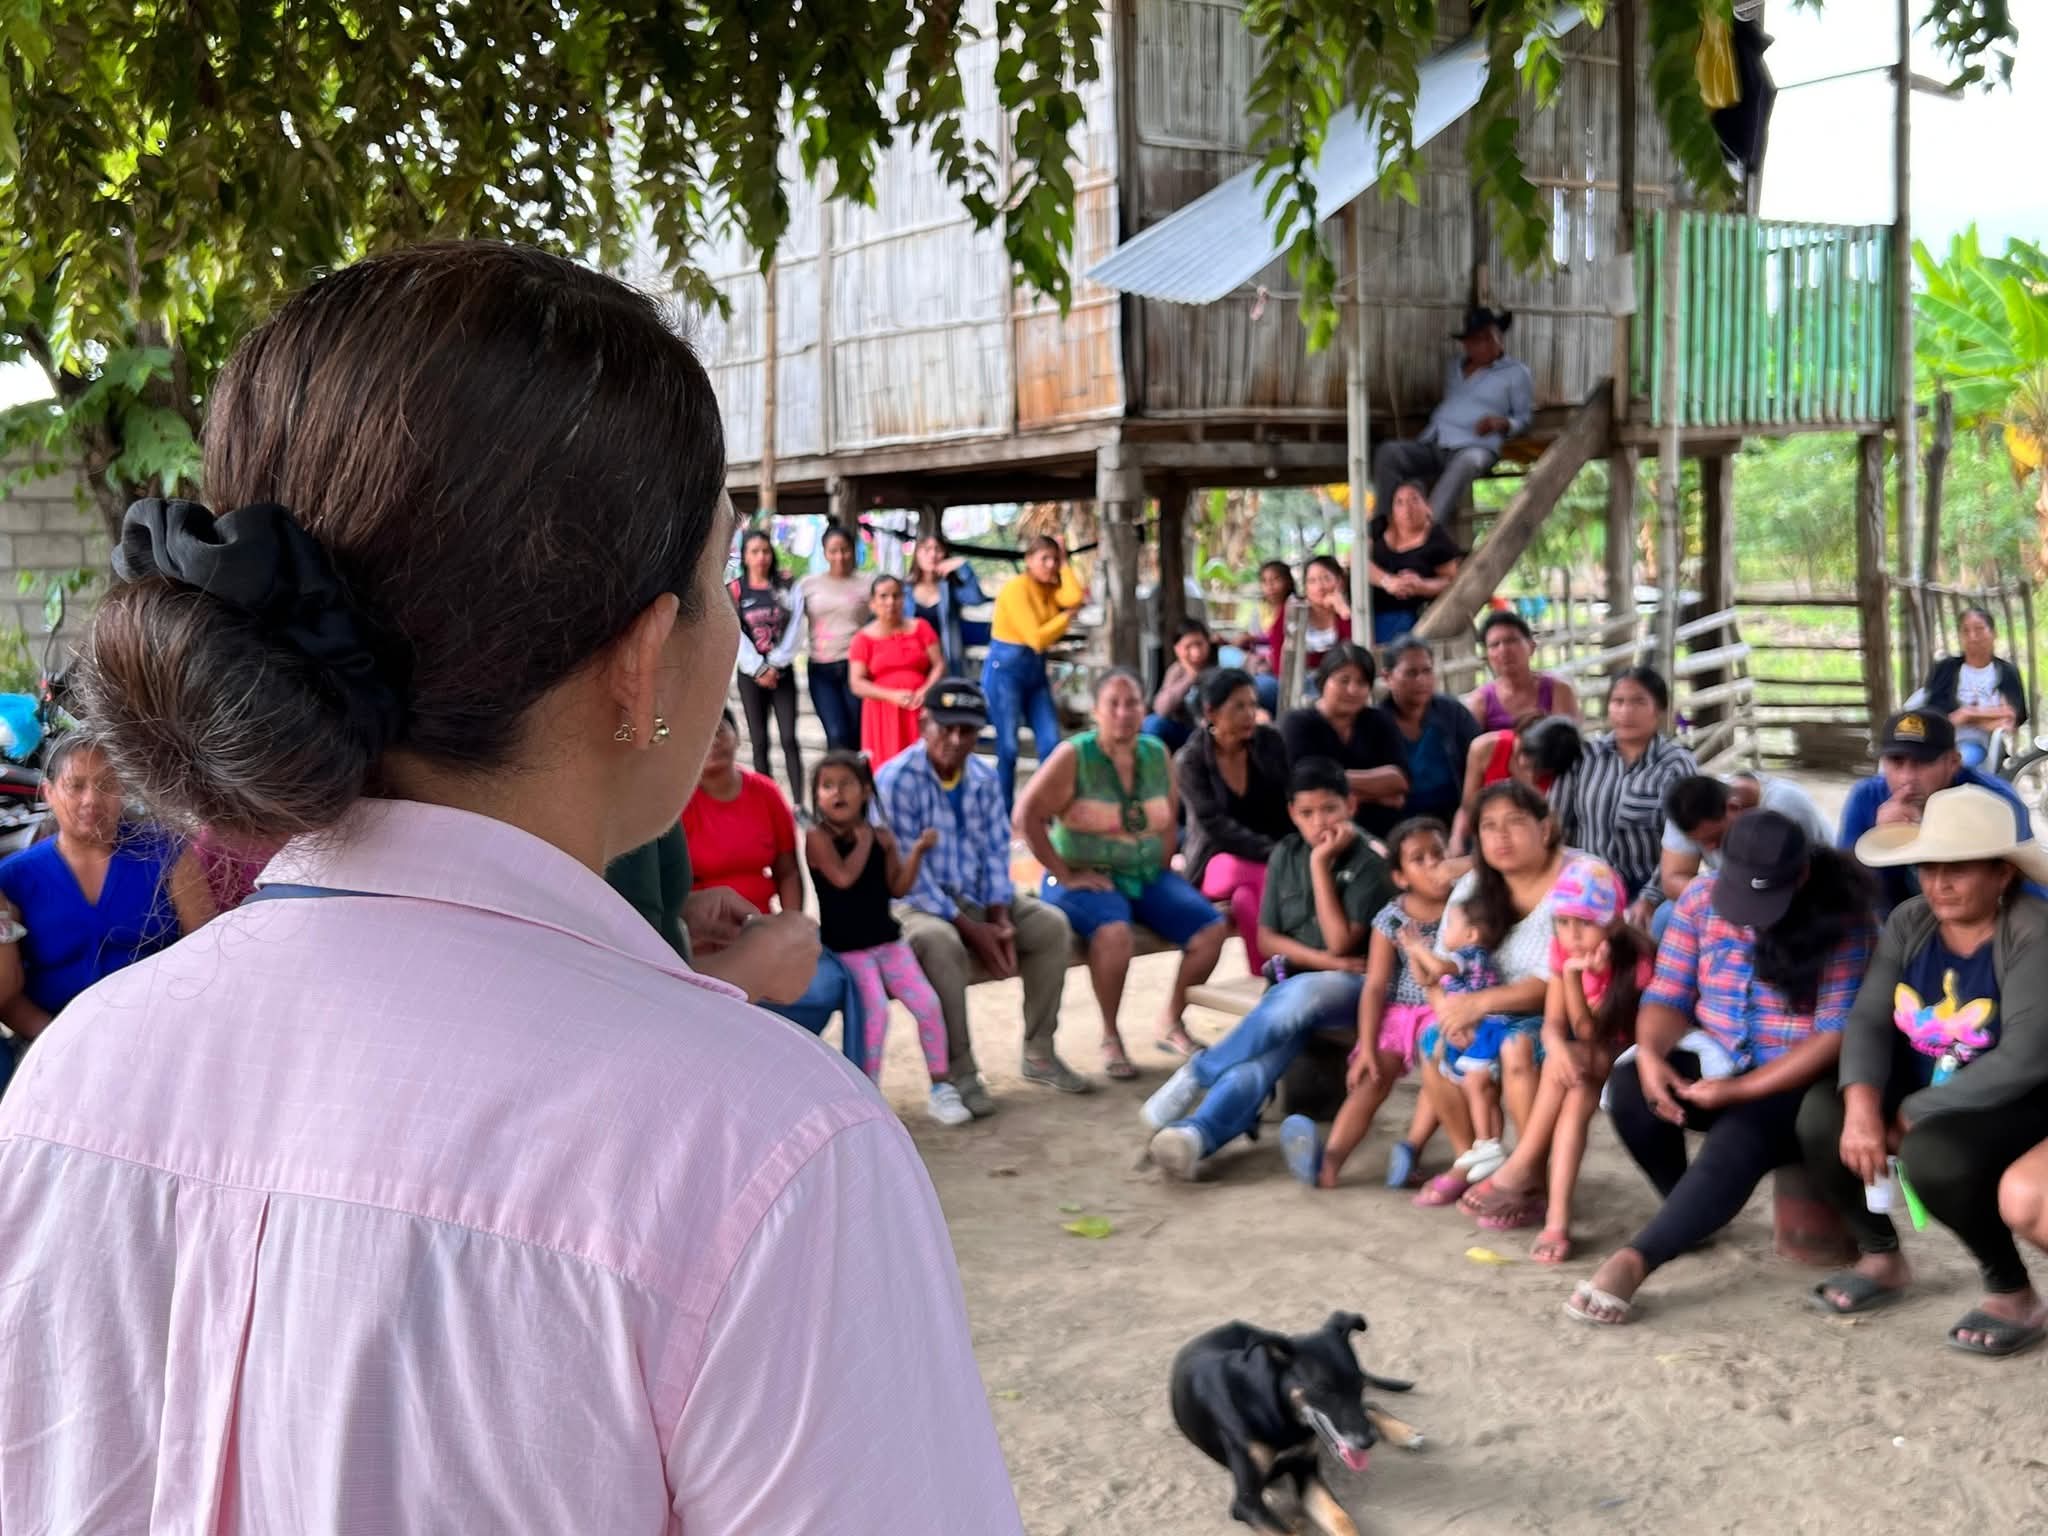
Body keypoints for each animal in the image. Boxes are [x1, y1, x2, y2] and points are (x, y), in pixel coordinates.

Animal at [1169, 1310, 1424, 1536]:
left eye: (1358, 1384)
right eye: (1322, 1389)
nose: (1367, 1442)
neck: (1277, 1413)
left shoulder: (1307, 1472)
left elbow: (1342, 1520)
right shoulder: (1247, 1503)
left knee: (1370, 1405)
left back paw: (1405, 1432)